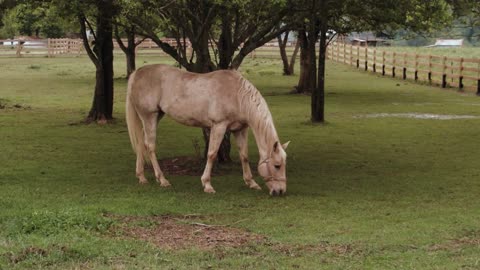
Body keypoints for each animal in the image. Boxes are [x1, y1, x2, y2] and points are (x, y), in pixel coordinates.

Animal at [125, 65, 288, 196]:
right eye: (277, 165)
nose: (280, 191)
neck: (237, 95)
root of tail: (137, 72)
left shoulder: (240, 130)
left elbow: (244, 156)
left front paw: (251, 183)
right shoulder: (219, 126)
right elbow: (212, 154)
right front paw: (207, 184)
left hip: (155, 116)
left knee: (141, 143)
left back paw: (141, 177)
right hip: (149, 117)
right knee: (150, 146)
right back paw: (162, 180)